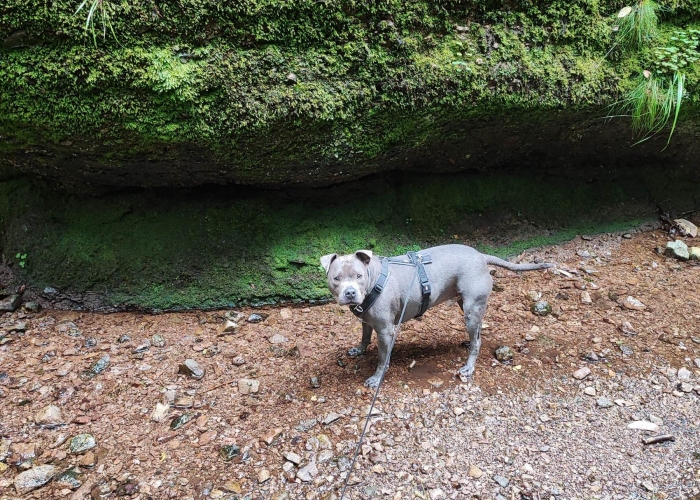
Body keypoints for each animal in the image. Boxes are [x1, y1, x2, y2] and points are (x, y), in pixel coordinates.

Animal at [320, 244, 556, 388]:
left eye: (358, 276)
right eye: (336, 278)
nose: (350, 293)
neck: (374, 278)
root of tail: (480, 256)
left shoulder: (386, 331)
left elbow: (381, 358)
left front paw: (377, 379)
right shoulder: (367, 321)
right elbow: (364, 336)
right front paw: (359, 350)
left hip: (471, 310)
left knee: (477, 341)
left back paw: (469, 367)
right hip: (466, 305)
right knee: (478, 333)